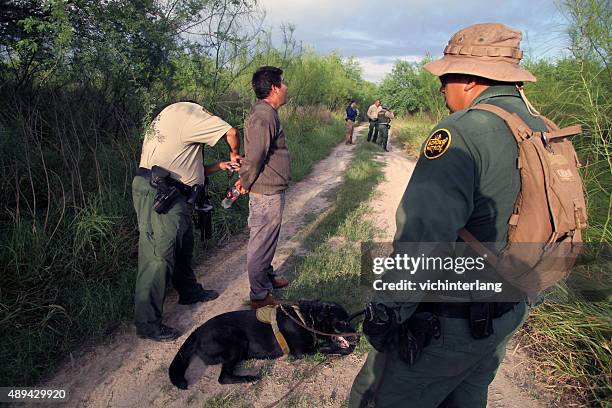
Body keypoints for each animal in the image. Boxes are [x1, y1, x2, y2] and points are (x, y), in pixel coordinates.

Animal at [167, 300, 358, 388]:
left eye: (349, 320)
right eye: (342, 322)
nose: (357, 337)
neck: (304, 318)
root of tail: (197, 331)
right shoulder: (301, 351)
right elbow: (328, 348)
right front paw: (345, 349)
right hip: (235, 339)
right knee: (223, 378)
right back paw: (248, 378)